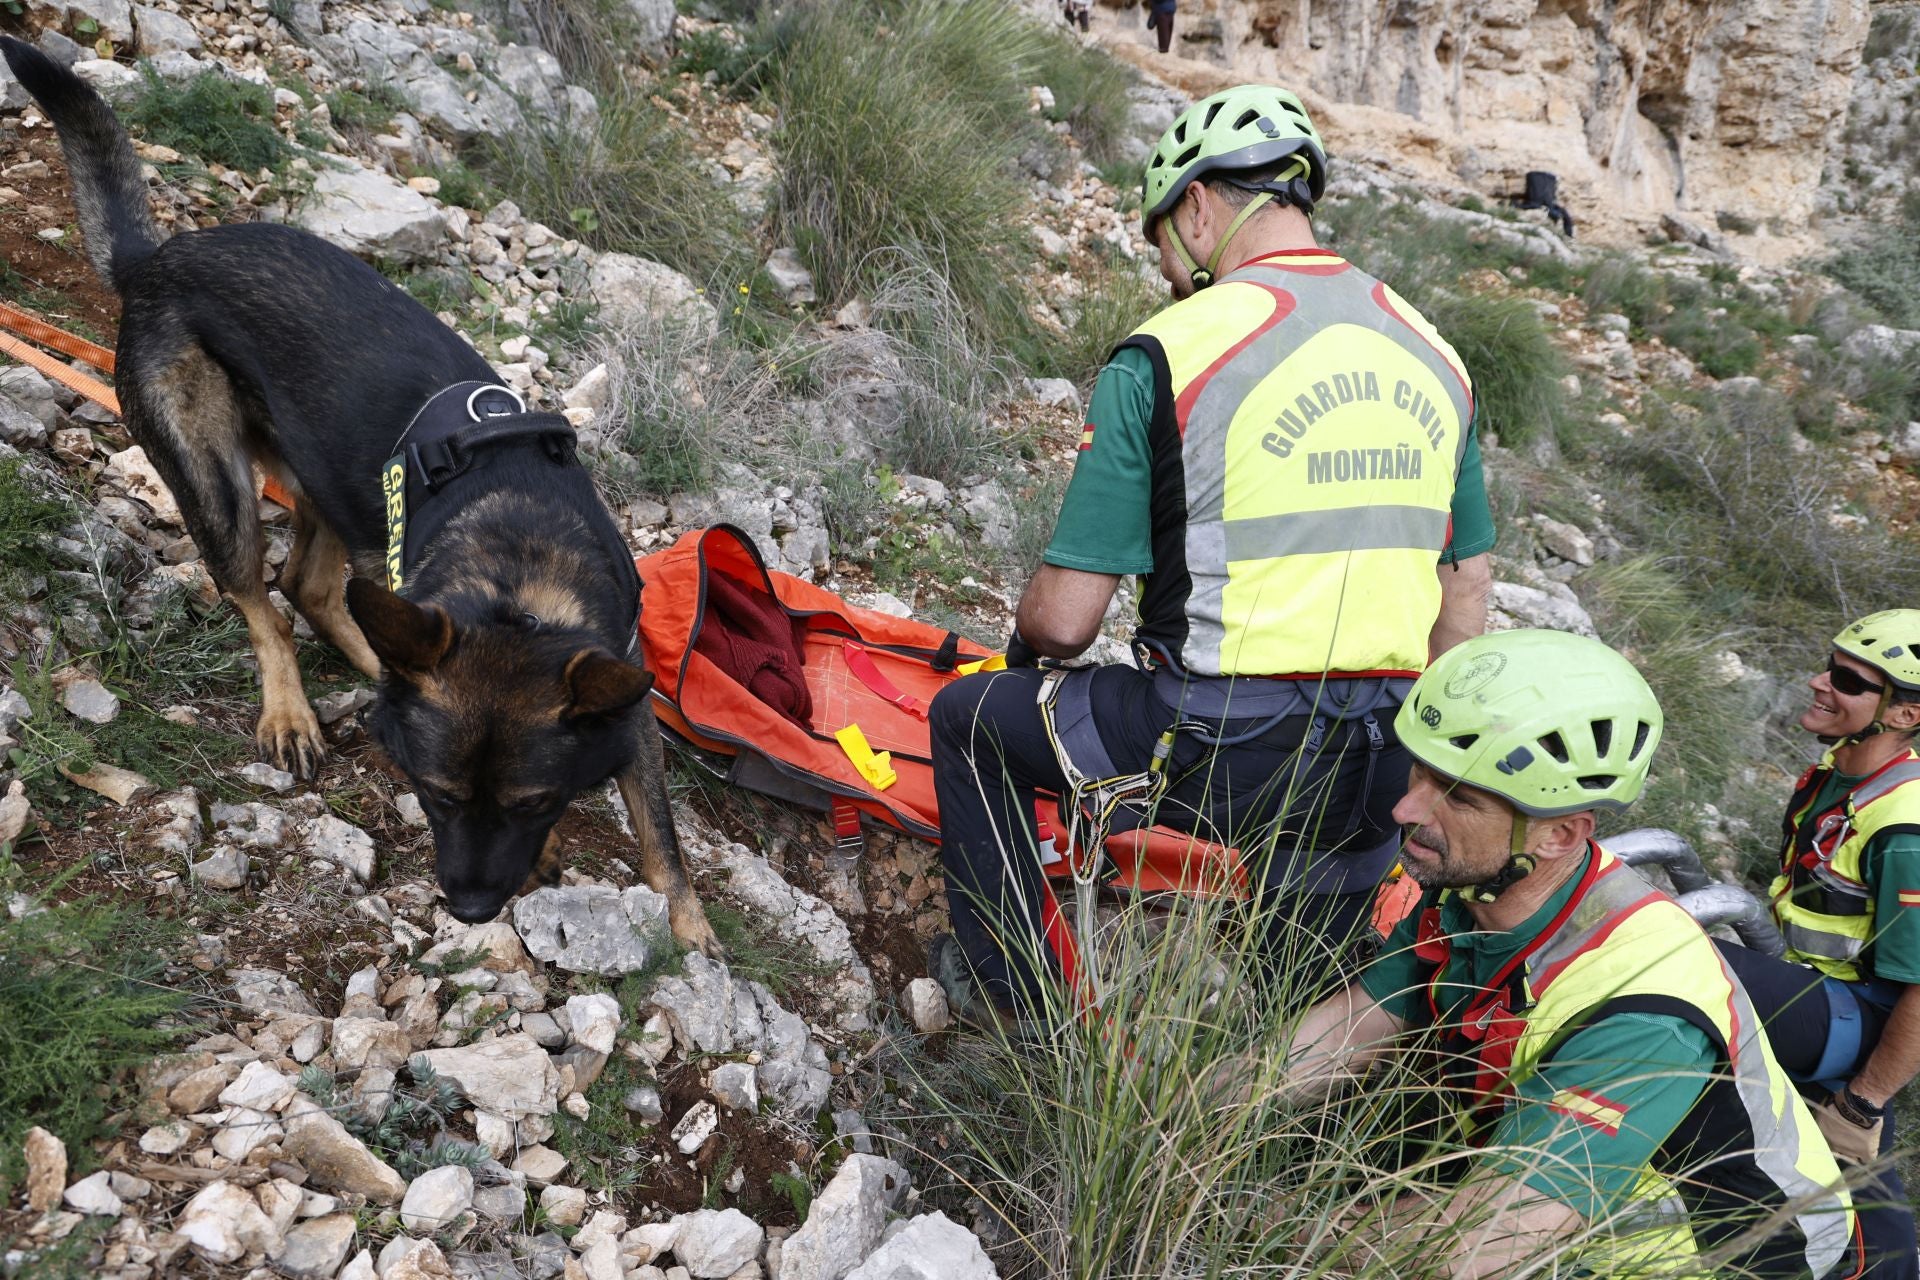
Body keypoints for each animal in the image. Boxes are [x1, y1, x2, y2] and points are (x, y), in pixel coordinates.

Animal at [3, 37, 721, 951]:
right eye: (435, 796)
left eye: (533, 802)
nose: (471, 910)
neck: (517, 587)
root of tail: (157, 259)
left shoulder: (627, 705)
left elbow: (662, 835)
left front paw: (689, 928)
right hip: (219, 482)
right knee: (261, 594)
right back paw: (292, 711)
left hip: (334, 479)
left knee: (311, 585)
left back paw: (373, 659)